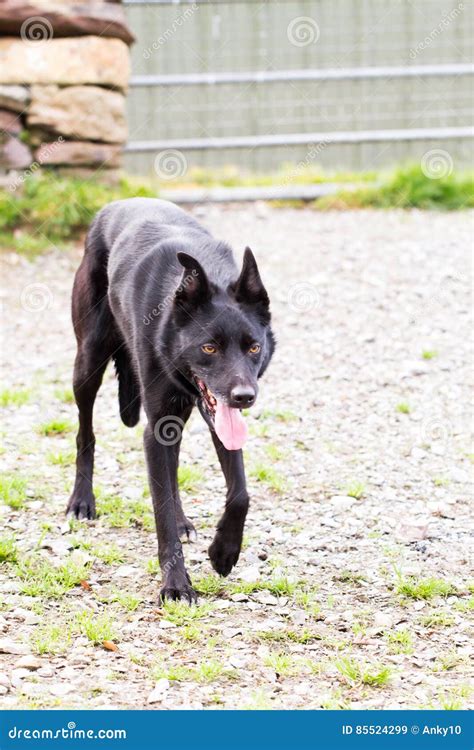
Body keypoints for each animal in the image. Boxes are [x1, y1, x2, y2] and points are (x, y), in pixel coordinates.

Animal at [66, 200, 274, 604]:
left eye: (254, 347)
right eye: (209, 348)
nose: (244, 398)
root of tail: (113, 206)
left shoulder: (209, 418)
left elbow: (239, 493)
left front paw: (224, 552)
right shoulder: (157, 428)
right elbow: (159, 506)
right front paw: (176, 585)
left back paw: (183, 522)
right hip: (88, 362)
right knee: (85, 433)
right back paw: (82, 500)